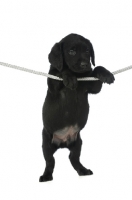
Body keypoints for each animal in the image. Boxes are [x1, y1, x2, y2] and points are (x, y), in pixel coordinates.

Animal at [39, 33, 114, 182]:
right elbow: (61, 71)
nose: (85, 64)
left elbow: (97, 68)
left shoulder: (93, 86)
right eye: (71, 51)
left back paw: (83, 170)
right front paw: (69, 77)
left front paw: (106, 74)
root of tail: (62, 143)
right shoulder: (53, 85)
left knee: (73, 158)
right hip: (46, 143)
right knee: (50, 161)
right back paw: (46, 176)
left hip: (78, 142)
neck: (79, 75)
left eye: (87, 51)